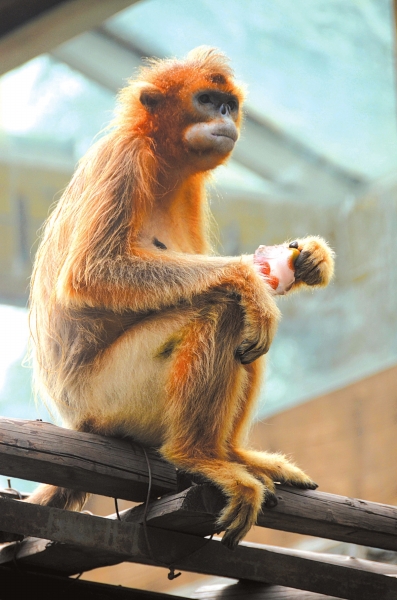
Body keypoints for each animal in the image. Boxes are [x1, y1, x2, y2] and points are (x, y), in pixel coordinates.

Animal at [26, 48, 332, 548]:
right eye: (206, 101)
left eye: (228, 104)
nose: (223, 116)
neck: (162, 162)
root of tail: (76, 419)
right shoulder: (124, 158)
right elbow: (92, 272)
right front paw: (249, 279)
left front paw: (308, 258)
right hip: (110, 399)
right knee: (223, 305)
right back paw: (197, 456)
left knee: (243, 327)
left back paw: (233, 453)